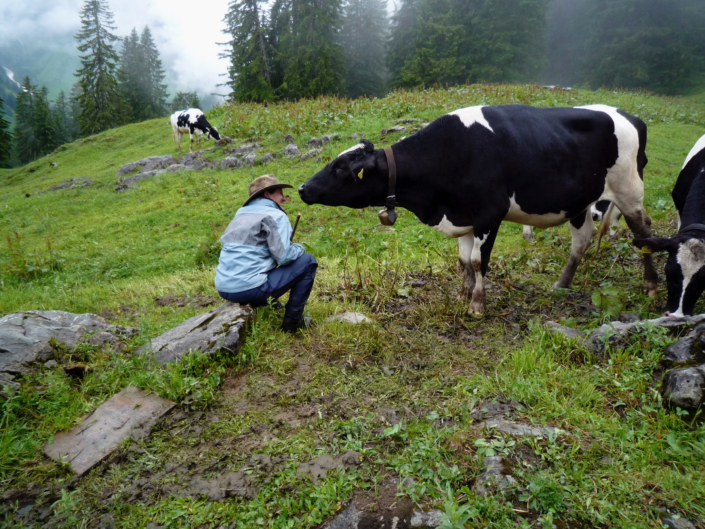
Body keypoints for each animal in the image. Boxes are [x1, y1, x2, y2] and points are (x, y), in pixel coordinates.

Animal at [296, 103, 656, 314]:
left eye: (341, 168)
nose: (302, 188)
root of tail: (630, 116)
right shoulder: (462, 216)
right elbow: (462, 262)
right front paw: (462, 297)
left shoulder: (488, 214)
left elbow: (477, 261)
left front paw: (478, 306)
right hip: (580, 202)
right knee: (582, 239)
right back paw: (562, 285)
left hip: (628, 191)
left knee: (644, 233)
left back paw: (651, 286)